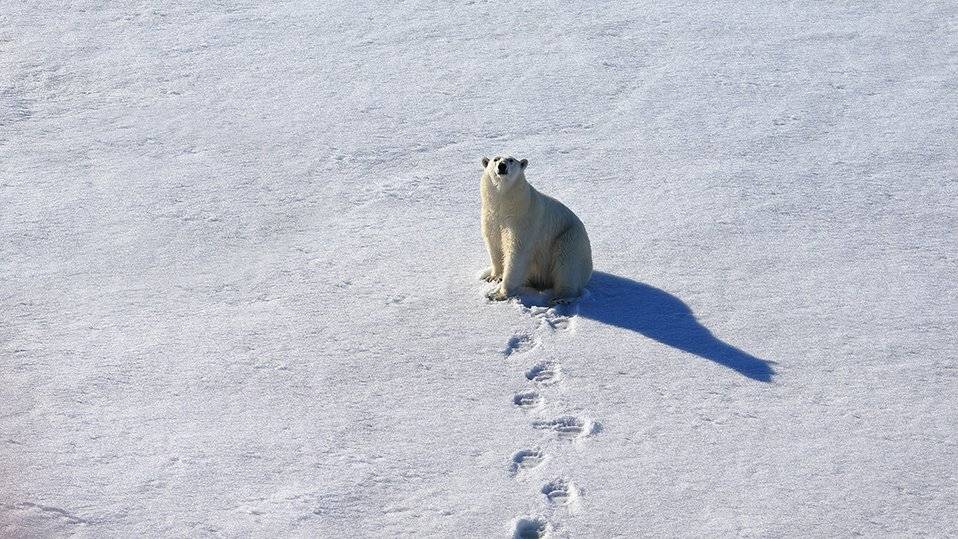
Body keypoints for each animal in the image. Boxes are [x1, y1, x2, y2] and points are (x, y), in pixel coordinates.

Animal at [479, 155, 593, 304]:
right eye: (496, 159)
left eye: (511, 160)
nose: (502, 166)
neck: (506, 204)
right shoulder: (492, 218)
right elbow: (494, 245)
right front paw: (494, 277)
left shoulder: (523, 220)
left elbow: (517, 252)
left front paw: (500, 294)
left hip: (570, 237)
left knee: (567, 263)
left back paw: (561, 297)